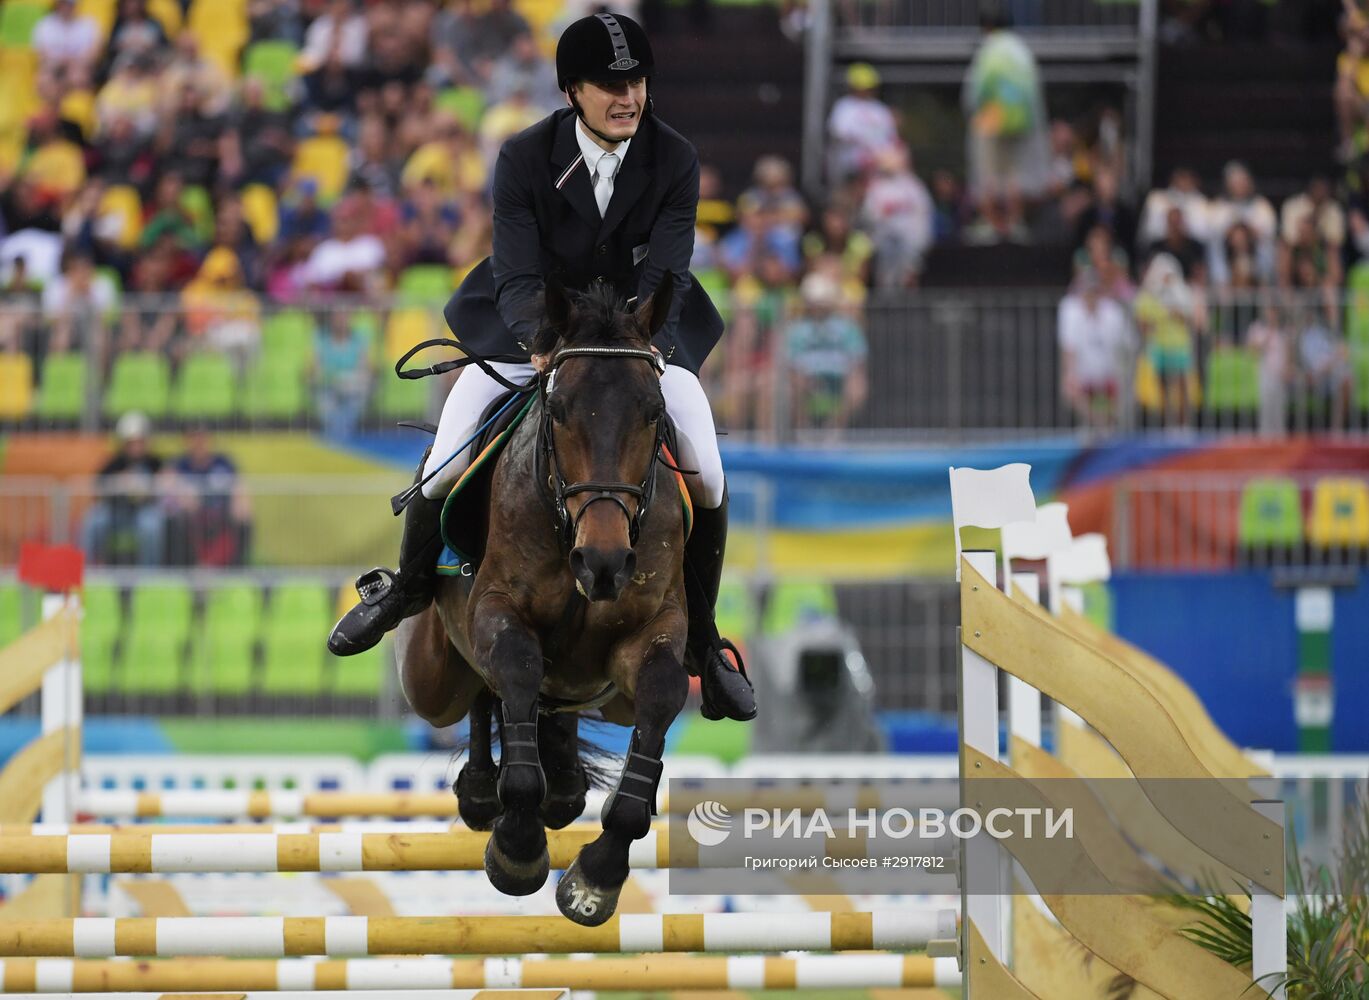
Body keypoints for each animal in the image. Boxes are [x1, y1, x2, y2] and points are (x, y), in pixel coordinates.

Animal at [399, 276, 695, 920]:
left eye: (654, 412)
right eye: (557, 411)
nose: (604, 563)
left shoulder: (652, 631)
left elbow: (661, 696)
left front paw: (596, 878)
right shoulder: (498, 609)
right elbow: (515, 668)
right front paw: (517, 848)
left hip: (604, 695)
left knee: (553, 709)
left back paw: (560, 785)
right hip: (429, 677)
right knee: (486, 693)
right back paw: (484, 793)